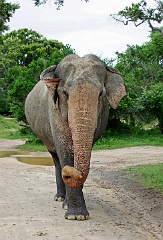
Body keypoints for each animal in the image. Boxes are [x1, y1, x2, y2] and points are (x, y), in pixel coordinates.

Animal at [24, 53, 126, 220]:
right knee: (56, 159)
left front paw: (76, 213)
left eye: (101, 94)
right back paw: (59, 198)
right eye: (65, 93)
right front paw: (75, 215)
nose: (69, 173)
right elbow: (65, 150)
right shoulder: (54, 110)